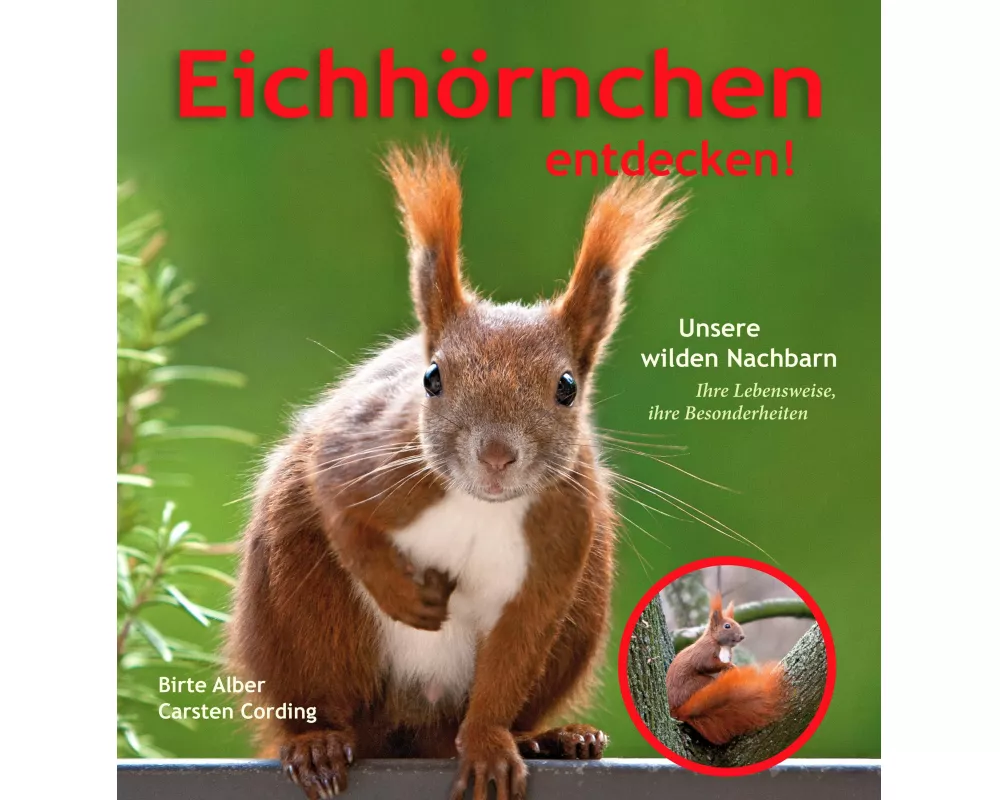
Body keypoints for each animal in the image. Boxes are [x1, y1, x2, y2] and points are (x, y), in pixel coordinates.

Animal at [226, 141, 686, 800]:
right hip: (303, 614)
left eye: (567, 387)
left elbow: (519, 640)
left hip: (581, 608)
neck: (478, 504)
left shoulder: (562, 536)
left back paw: (549, 738)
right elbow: (336, 501)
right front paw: (402, 595)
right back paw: (317, 744)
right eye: (432, 377)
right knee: (322, 698)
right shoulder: (365, 454)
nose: (495, 455)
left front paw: (491, 747)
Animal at [665, 594, 787, 746]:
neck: (722, 645)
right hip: (696, 684)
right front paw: (730, 666)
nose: (742, 636)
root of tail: (678, 711)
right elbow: (705, 664)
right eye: (727, 626)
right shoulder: (704, 651)